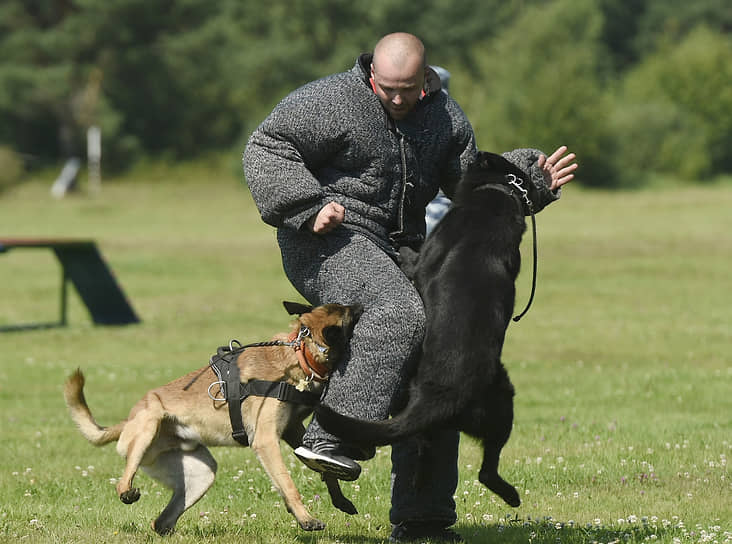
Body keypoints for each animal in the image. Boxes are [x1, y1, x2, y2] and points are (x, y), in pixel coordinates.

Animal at [64, 302, 362, 536]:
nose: (361, 305)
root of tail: (127, 422)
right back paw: (127, 491)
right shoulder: (266, 440)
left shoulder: (291, 428)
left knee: (160, 523)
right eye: (349, 313)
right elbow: (287, 483)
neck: (299, 355)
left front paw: (338, 497)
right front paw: (306, 519)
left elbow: (322, 468)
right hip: (149, 423)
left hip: (200, 474)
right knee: (123, 482)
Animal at [314, 151, 536, 508]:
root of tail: (443, 396)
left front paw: (400, 244)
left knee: (482, 471)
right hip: (498, 408)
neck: (496, 194)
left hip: (499, 404)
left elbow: (411, 258)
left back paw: (509, 496)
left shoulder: (423, 260)